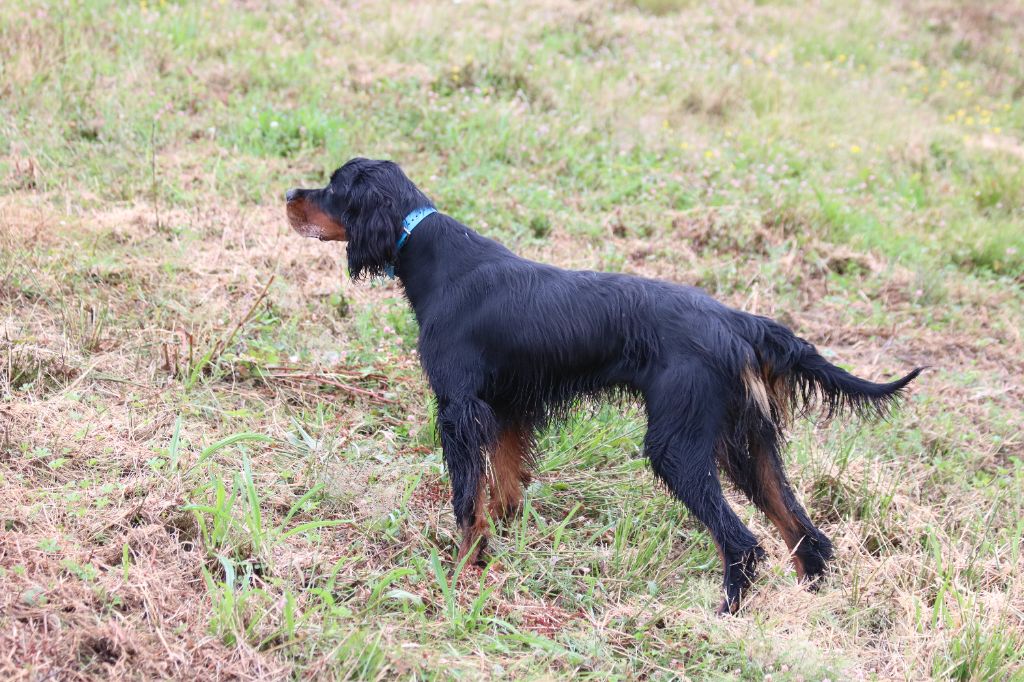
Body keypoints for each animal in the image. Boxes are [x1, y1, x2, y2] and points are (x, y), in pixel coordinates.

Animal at [286, 157, 921, 610]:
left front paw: (462, 570)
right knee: (804, 533)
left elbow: (468, 501)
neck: (431, 256)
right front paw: (500, 552)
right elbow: (504, 486)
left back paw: (725, 614)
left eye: (334, 186)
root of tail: (736, 321)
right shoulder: (509, 406)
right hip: (744, 442)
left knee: (743, 543)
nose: (290, 195)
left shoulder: (460, 408)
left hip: (677, 445)